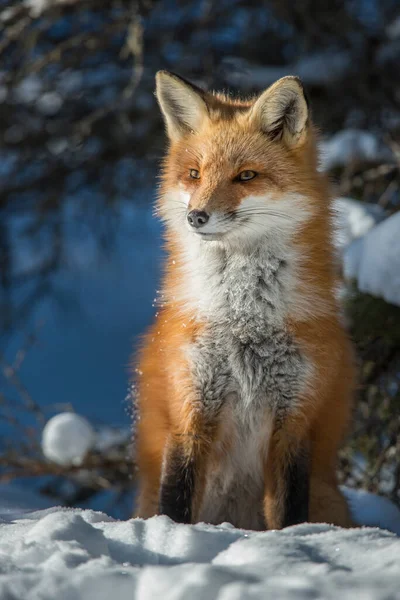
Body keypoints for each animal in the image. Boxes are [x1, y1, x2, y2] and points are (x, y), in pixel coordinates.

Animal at [133, 71, 354, 528]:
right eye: (194, 174)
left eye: (246, 176)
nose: (196, 217)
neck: (243, 323)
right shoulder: (190, 409)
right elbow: (176, 501)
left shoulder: (295, 419)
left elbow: (289, 511)